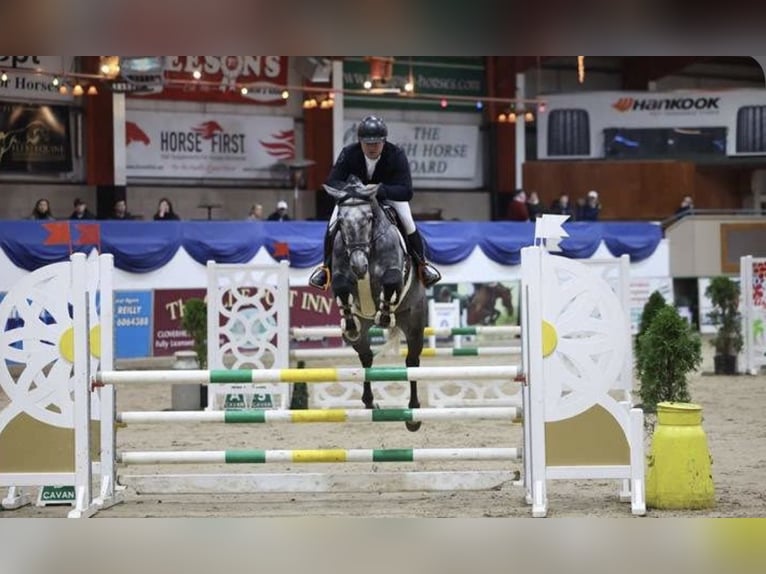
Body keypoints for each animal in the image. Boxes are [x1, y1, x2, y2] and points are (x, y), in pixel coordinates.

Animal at [322, 177, 428, 432]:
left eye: (369, 218)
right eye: (341, 222)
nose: (358, 265)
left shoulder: (394, 274)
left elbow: (390, 282)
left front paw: (385, 315)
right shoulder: (341, 275)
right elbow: (341, 286)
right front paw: (349, 321)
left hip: (414, 322)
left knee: (412, 362)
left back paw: (414, 414)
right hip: (363, 332)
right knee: (366, 357)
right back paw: (369, 402)